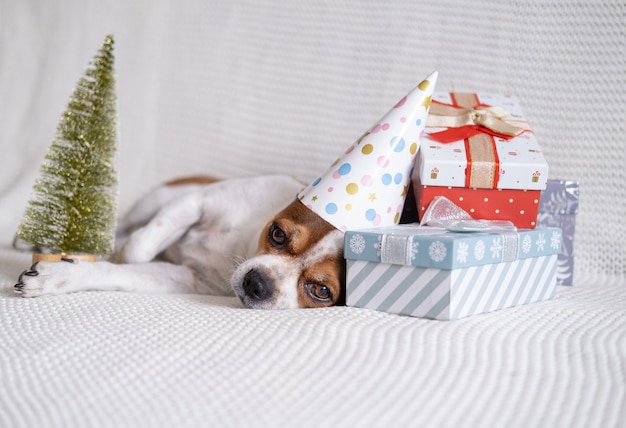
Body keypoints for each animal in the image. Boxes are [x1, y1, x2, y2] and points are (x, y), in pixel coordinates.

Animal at [13, 176, 346, 310]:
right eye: (277, 234)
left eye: (321, 291)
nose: (257, 283)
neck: (241, 246)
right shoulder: (196, 201)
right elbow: (137, 248)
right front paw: (119, 251)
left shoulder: (184, 278)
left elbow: (119, 269)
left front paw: (63, 273)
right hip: (160, 197)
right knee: (125, 225)